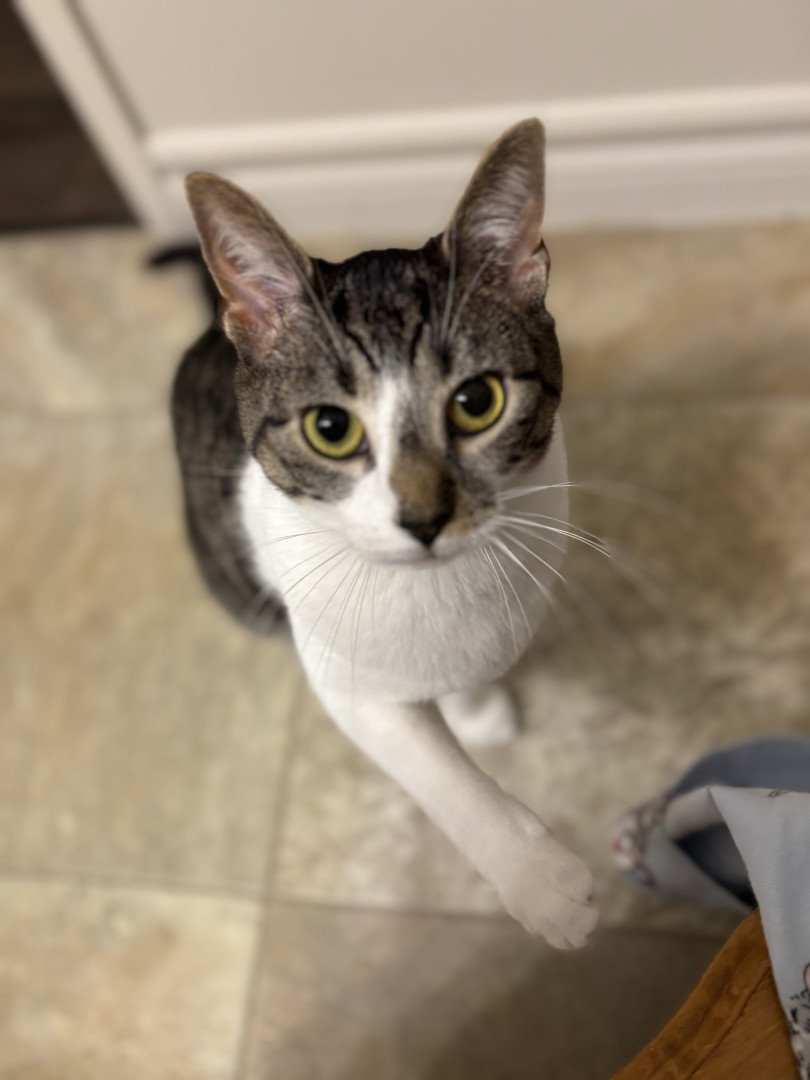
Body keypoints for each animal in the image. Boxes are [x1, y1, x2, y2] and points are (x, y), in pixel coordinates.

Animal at [171, 119, 597, 949]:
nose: (424, 517)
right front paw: (542, 880)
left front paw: (476, 708)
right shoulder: (343, 674)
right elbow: (428, 762)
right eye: (330, 428)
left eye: (477, 401)